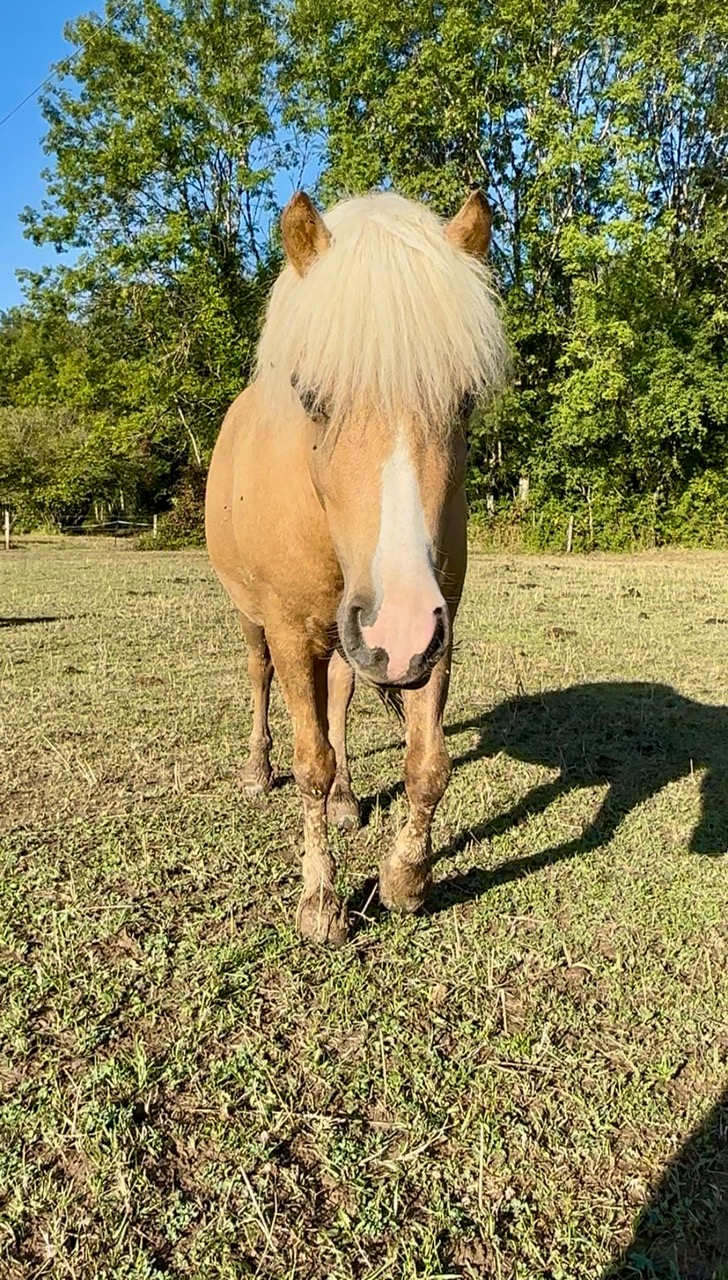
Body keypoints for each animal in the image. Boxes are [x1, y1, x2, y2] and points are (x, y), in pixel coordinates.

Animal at [205, 188, 508, 945]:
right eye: (311, 397)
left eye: (463, 401)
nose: (396, 630)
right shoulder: (290, 630)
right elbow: (309, 761)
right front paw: (320, 901)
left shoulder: (438, 626)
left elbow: (427, 764)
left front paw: (405, 880)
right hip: (258, 618)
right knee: (259, 678)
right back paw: (258, 771)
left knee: (340, 694)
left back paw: (346, 799)